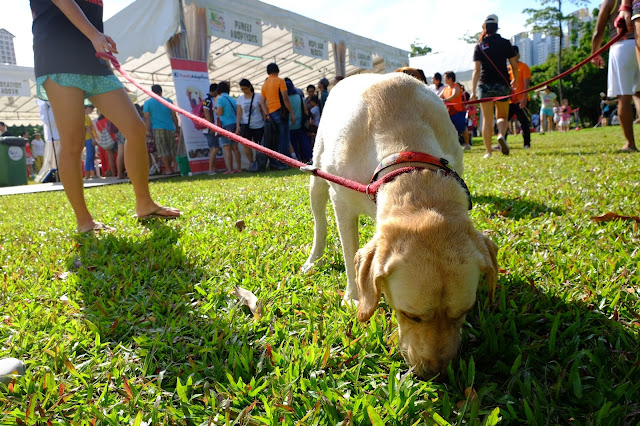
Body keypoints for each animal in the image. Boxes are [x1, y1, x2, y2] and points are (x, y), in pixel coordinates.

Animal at [302, 73, 498, 378]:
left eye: (462, 312)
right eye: (410, 315)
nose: (436, 374)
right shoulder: (341, 200)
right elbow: (350, 253)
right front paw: (355, 297)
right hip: (317, 174)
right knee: (319, 221)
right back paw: (313, 259)